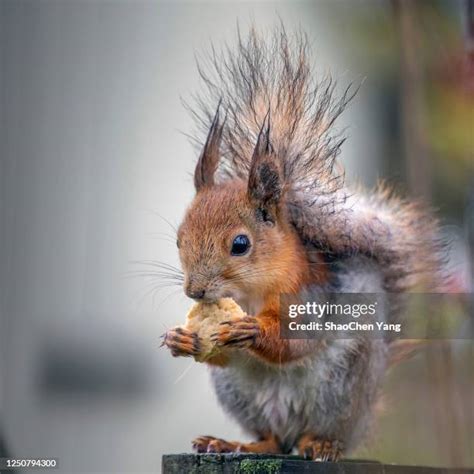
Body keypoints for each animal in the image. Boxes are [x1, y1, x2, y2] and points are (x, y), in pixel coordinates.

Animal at [163, 26, 444, 462]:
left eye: (240, 244)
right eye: (179, 238)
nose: (195, 291)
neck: (251, 294)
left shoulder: (313, 292)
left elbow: (296, 341)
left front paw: (252, 331)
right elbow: (220, 353)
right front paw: (183, 339)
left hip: (342, 387)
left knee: (322, 431)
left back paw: (323, 443)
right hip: (239, 395)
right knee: (273, 439)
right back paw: (235, 442)